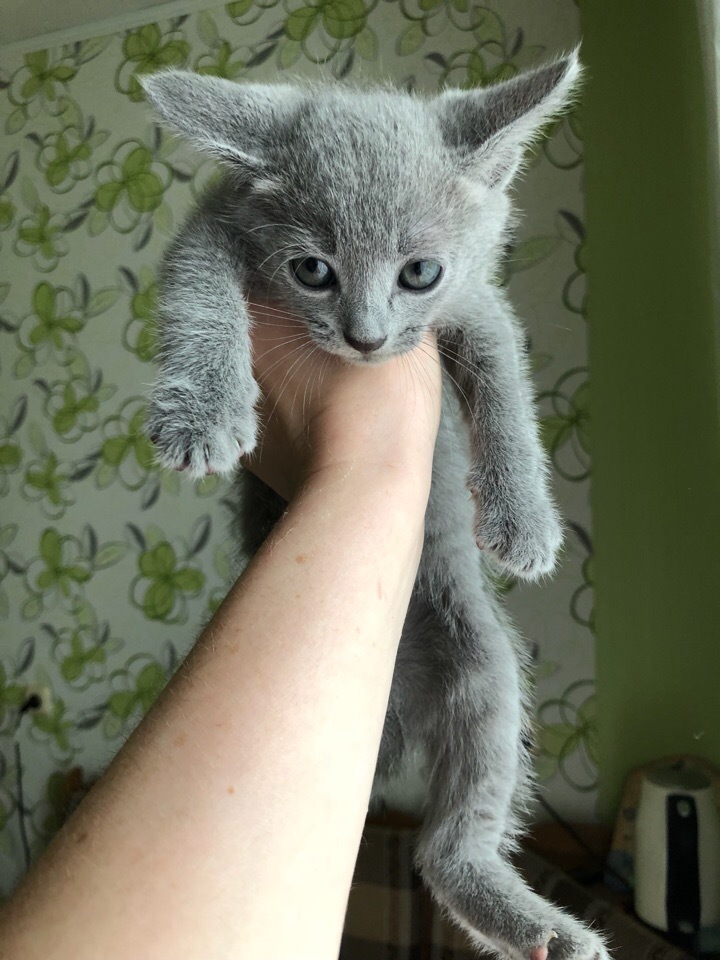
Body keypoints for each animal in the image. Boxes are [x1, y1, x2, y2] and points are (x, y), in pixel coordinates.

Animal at [142, 60, 608, 960]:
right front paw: (204, 411)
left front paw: (525, 520)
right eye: (312, 271)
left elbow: (506, 383)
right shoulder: (212, 229)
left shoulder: (473, 300)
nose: (365, 338)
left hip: (484, 670)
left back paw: (536, 925)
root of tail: (399, 702)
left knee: (446, 845)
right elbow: (197, 291)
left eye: (418, 273)